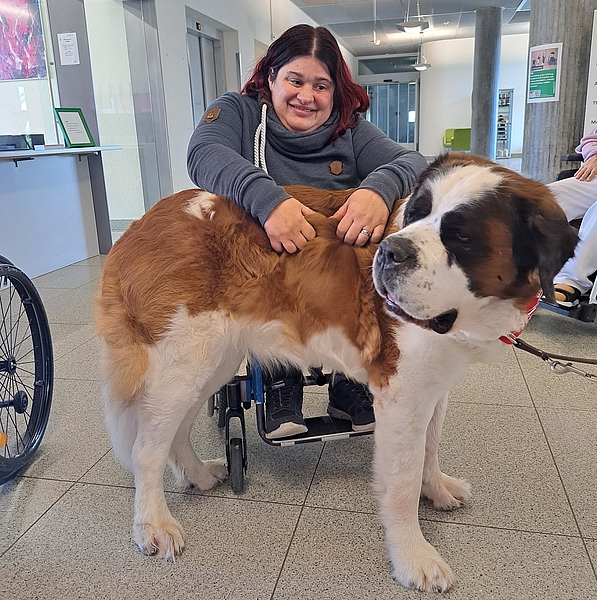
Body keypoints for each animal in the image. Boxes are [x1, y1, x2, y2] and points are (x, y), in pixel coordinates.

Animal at [95, 152, 577, 592]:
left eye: (460, 235)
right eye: (417, 213)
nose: (389, 251)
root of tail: (138, 224)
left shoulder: (433, 386)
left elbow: (430, 447)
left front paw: (437, 489)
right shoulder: (401, 395)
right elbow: (401, 482)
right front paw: (414, 558)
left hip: (213, 361)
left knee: (173, 430)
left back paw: (196, 476)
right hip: (186, 357)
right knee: (145, 448)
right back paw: (153, 526)